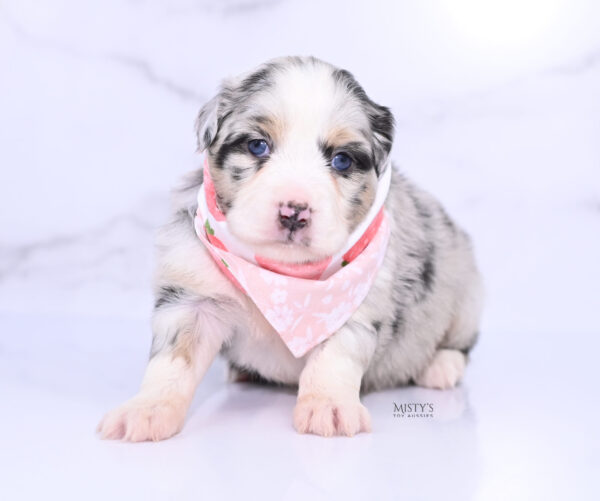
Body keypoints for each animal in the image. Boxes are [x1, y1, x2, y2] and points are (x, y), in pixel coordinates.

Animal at [98, 54, 482, 440]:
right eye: (258, 145)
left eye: (341, 160)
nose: (294, 212)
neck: (279, 275)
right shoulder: (193, 296)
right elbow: (172, 361)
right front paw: (146, 410)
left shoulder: (355, 306)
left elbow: (333, 358)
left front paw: (329, 406)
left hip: (464, 291)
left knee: (460, 344)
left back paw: (440, 365)